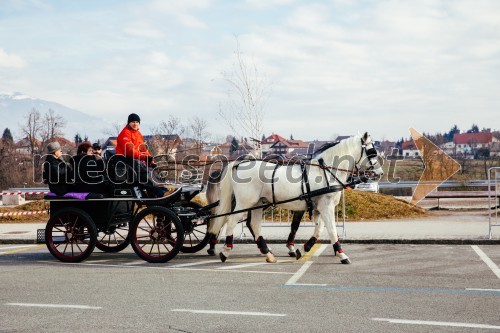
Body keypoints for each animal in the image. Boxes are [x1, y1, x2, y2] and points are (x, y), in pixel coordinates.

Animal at [207, 132, 382, 262]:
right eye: (372, 151)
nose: (379, 173)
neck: (324, 171)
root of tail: (239, 164)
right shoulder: (326, 207)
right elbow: (331, 230)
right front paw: (341, 254)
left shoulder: (319, 208)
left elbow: (318, 230)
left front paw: (303, 249)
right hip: (245, 203)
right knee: (231, 221)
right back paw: (225, 251)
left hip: (257, 204)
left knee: (254, 225)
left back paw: (267, 253)